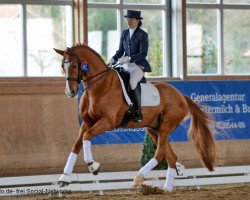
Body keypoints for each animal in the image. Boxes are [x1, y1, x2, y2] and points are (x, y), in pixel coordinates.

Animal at [54, 44, 217, 192]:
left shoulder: (107, 122)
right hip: (154, 129)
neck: (100, 85)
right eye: (62, 65)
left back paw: (139, 178)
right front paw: (64, 178)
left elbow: (86, 137)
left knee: (160, 154)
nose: (70, 92)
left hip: (166, 126)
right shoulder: (87, 123)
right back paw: (166, 188)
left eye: (74, 65)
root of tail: (181, 96)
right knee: (170, 156)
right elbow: (77, 145)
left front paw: (93, 166)